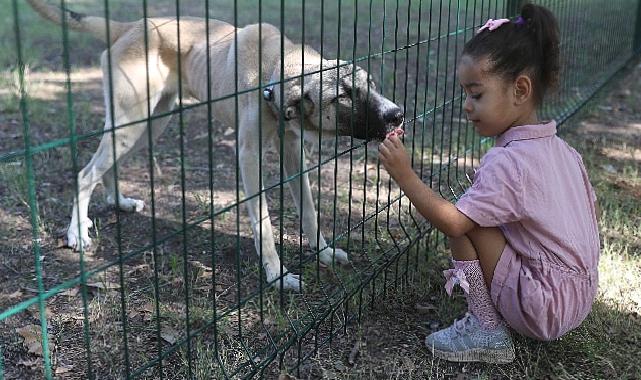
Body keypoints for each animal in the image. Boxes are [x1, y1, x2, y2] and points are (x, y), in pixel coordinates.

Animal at [28, 0, 404, 290]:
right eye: (343, 96)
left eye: (371, 83)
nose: (397, 115)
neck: (274, 72)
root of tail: (131, 27)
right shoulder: (249, 156)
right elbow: (263, 223)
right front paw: (277, 275)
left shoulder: (292, 152)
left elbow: (309, 211)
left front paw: (323, 253)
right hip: (130, 126)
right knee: (85, 173)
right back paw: (76, 232)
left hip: (149, 126)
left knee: (105, 169)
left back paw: (118, 201)